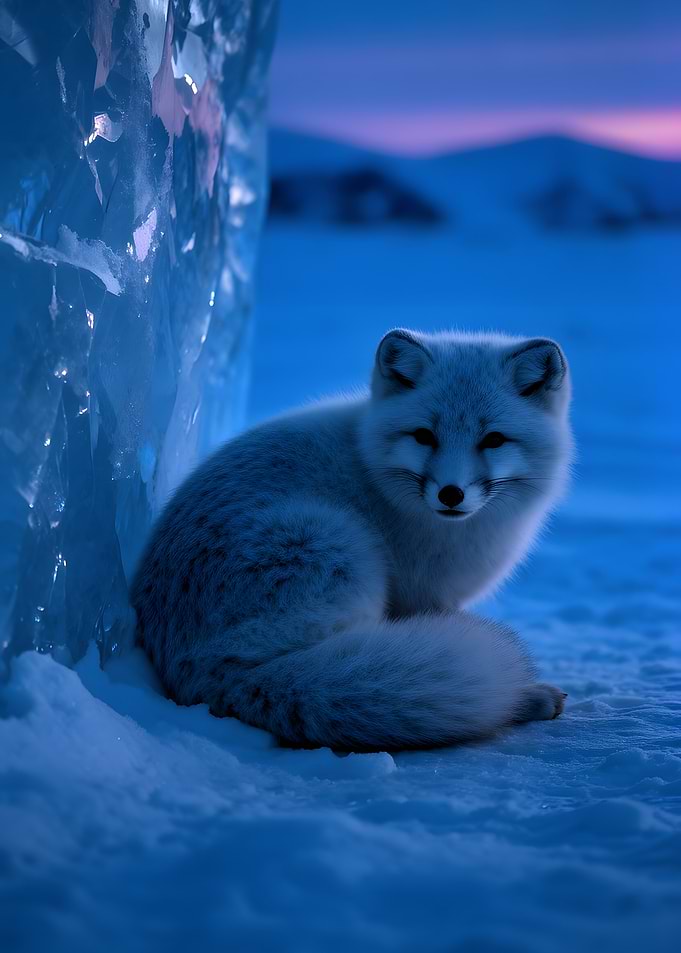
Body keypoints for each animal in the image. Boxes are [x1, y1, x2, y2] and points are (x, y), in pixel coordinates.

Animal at [131, 329, 573, 751]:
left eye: (494, 439)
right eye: (424, 436)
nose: (451, 494)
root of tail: (203, 671)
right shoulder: (425, 596)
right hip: (340, 556)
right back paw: (522, 698)